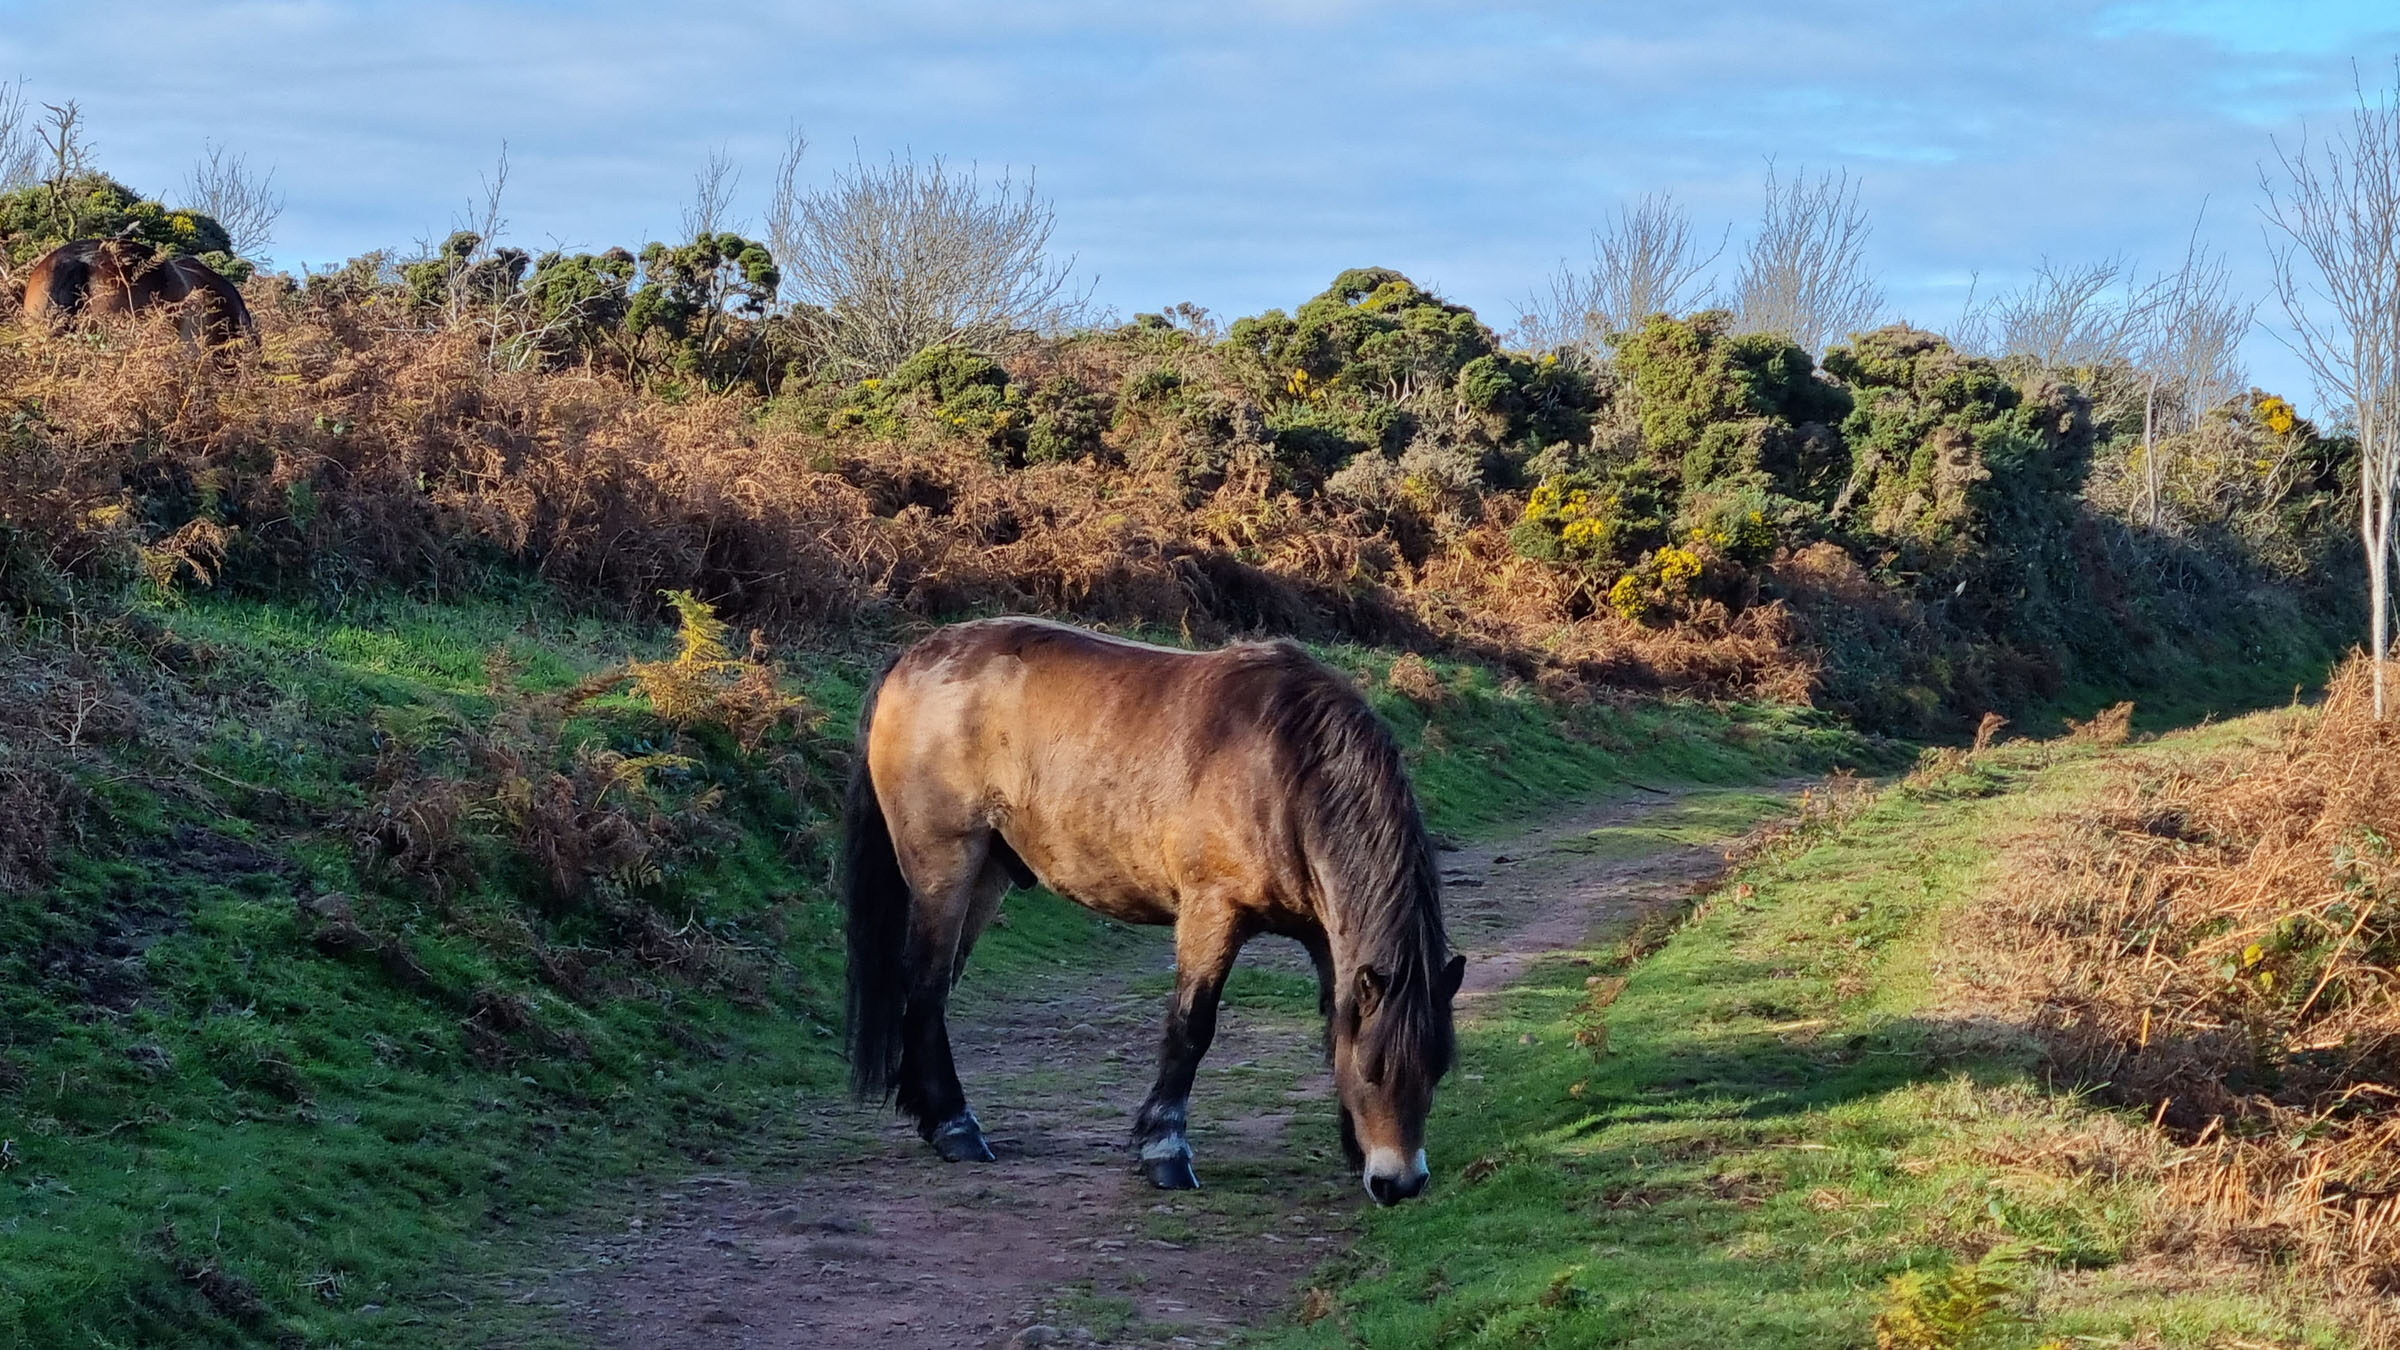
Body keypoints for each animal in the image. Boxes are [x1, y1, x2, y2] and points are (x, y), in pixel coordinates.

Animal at [843, 617, 1465, 1204]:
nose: (1400, 1182)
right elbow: (1191, 1026)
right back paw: (955, 1128)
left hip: (987, 876)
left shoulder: (1322, 934)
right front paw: (1164, 1150)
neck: (1285, 767)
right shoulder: (1213, 912)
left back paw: (934, 1117)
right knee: (925, 983)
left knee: (934, 989)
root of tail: (911, 659)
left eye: (1438, 1068)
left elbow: (1334, 1022)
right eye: (1373, 1069)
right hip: (945, 866)